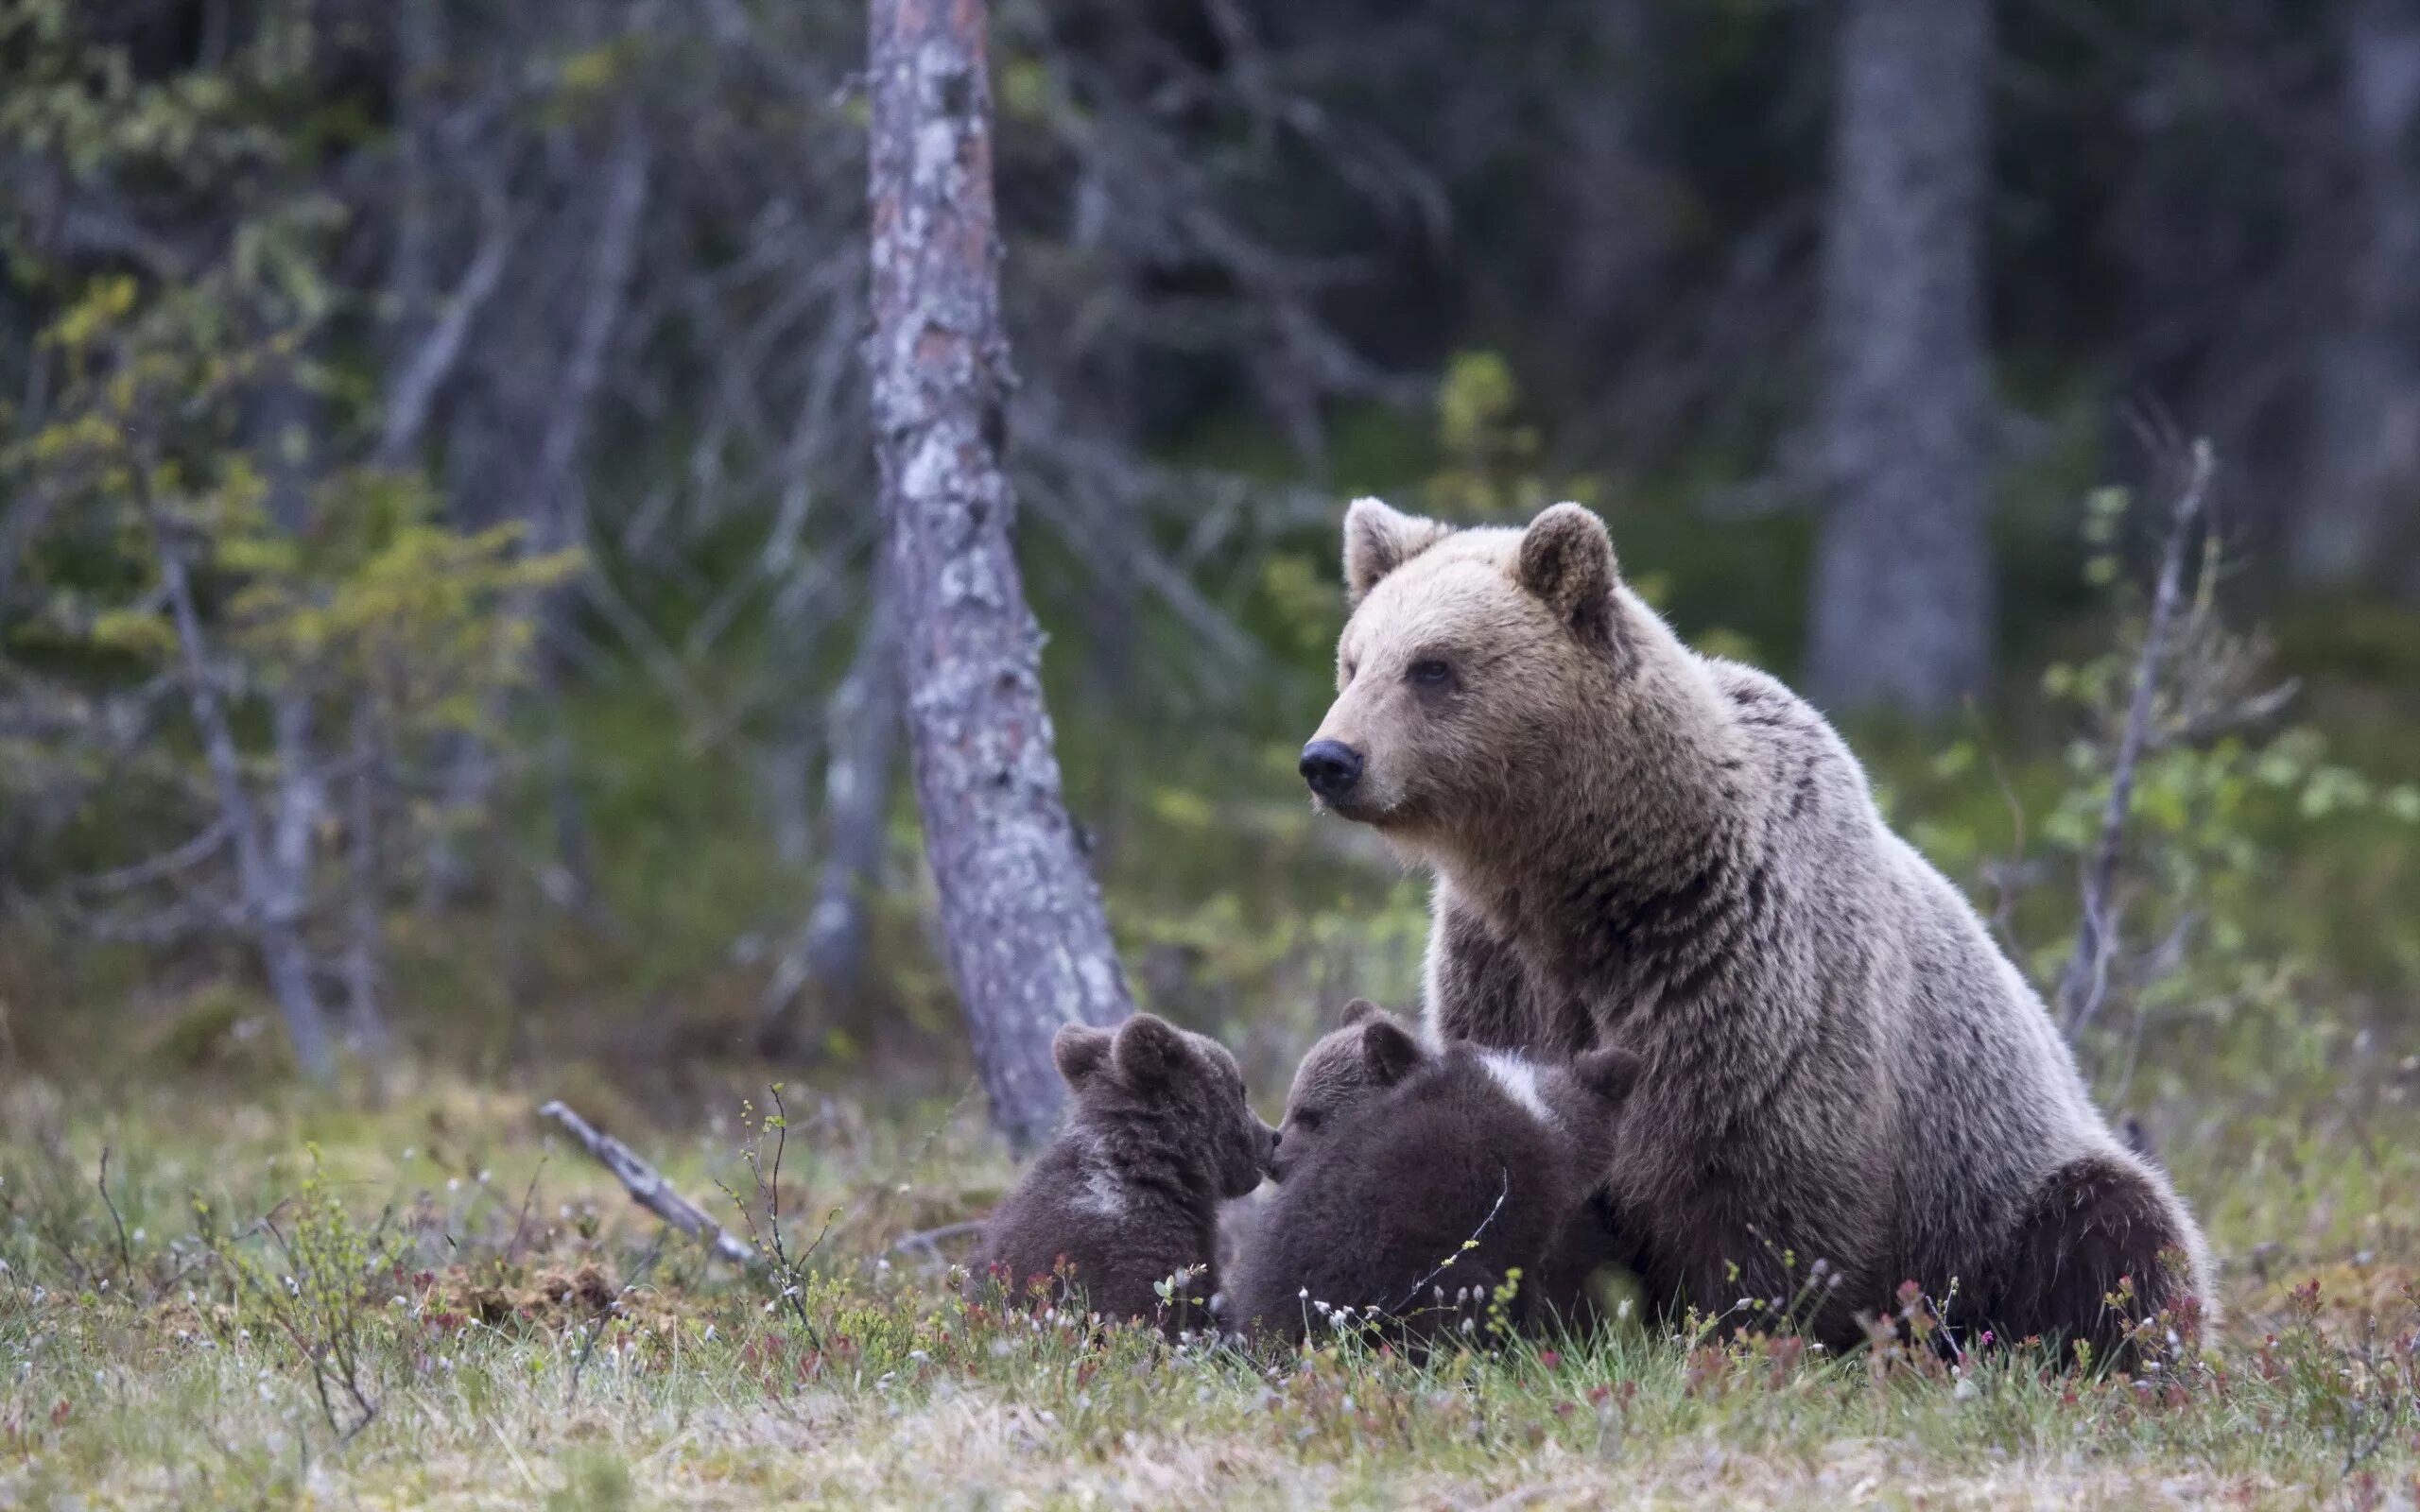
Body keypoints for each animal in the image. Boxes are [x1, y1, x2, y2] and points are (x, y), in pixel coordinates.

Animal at [1306, 495, 2216, 1354]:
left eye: (1432, 666)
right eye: (1353, 660)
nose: (1328, 760)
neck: (1593, 881)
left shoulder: (1746, 974)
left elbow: (1758, 1192)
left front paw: (1737, 1336)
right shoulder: (1502, 968)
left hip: (2007, 1189)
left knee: (2114, 1233)